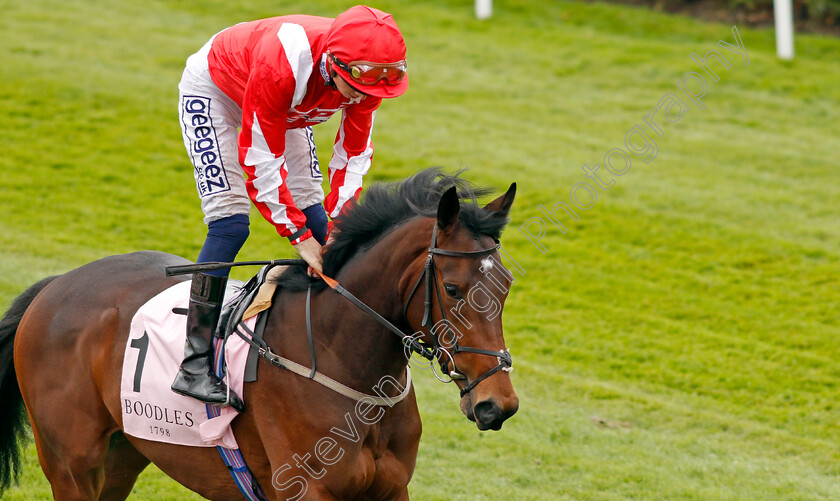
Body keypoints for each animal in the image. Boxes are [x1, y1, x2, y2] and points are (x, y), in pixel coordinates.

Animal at [0, 170, 520, 498]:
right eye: (452, 288)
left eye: (506, 286)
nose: (498, 404)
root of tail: (57, 284)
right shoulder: (309, 490)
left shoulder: (391, 490)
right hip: (71, 464)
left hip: (124, 453)